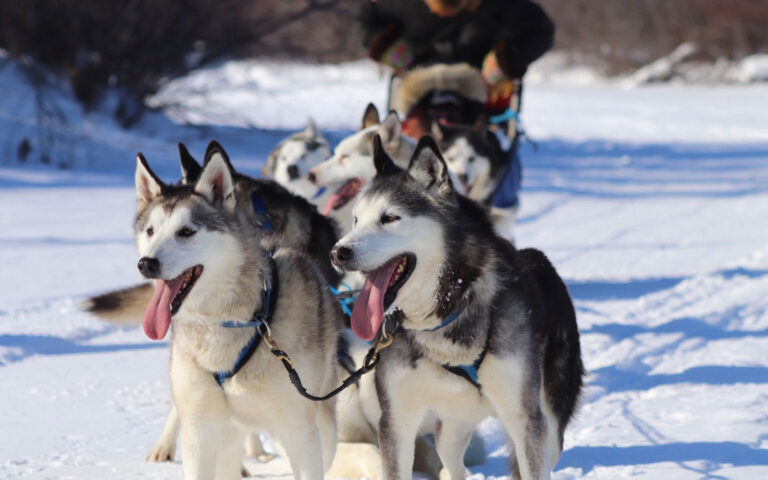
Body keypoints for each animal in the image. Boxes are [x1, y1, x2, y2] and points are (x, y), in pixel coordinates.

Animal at [135, 142, 342, 480]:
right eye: (151, 231)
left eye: (186, 232)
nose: (146, 264)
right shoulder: (199, 433)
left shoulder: (301, 433)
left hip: (322, 428)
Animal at [330, 135, 584, 480]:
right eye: (356, 219)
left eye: (390, 218)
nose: (337, 252)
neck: (447, 312)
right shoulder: (397, 421)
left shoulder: (525, 419)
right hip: (451, 428)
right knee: (453, 466)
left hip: (548, 425)